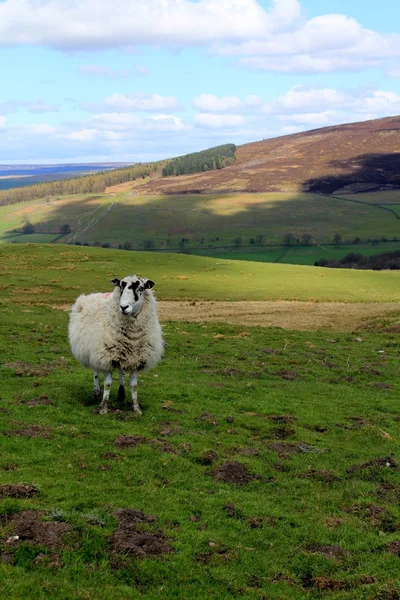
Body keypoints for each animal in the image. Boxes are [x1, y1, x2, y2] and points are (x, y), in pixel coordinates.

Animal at [68, 276, 163, 412]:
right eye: (121, 286)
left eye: (141, 288)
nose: (123, 307)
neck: (131, 339)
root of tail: (95, 294)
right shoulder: (106, 357)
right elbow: (108, 383)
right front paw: (103, 407)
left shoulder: (136, 359)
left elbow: (134, 385)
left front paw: (136, 408)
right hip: (94, 350)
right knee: (96, 370)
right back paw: (97, 392)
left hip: (121, 354)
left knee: (122, 371)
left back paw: (121, 394)